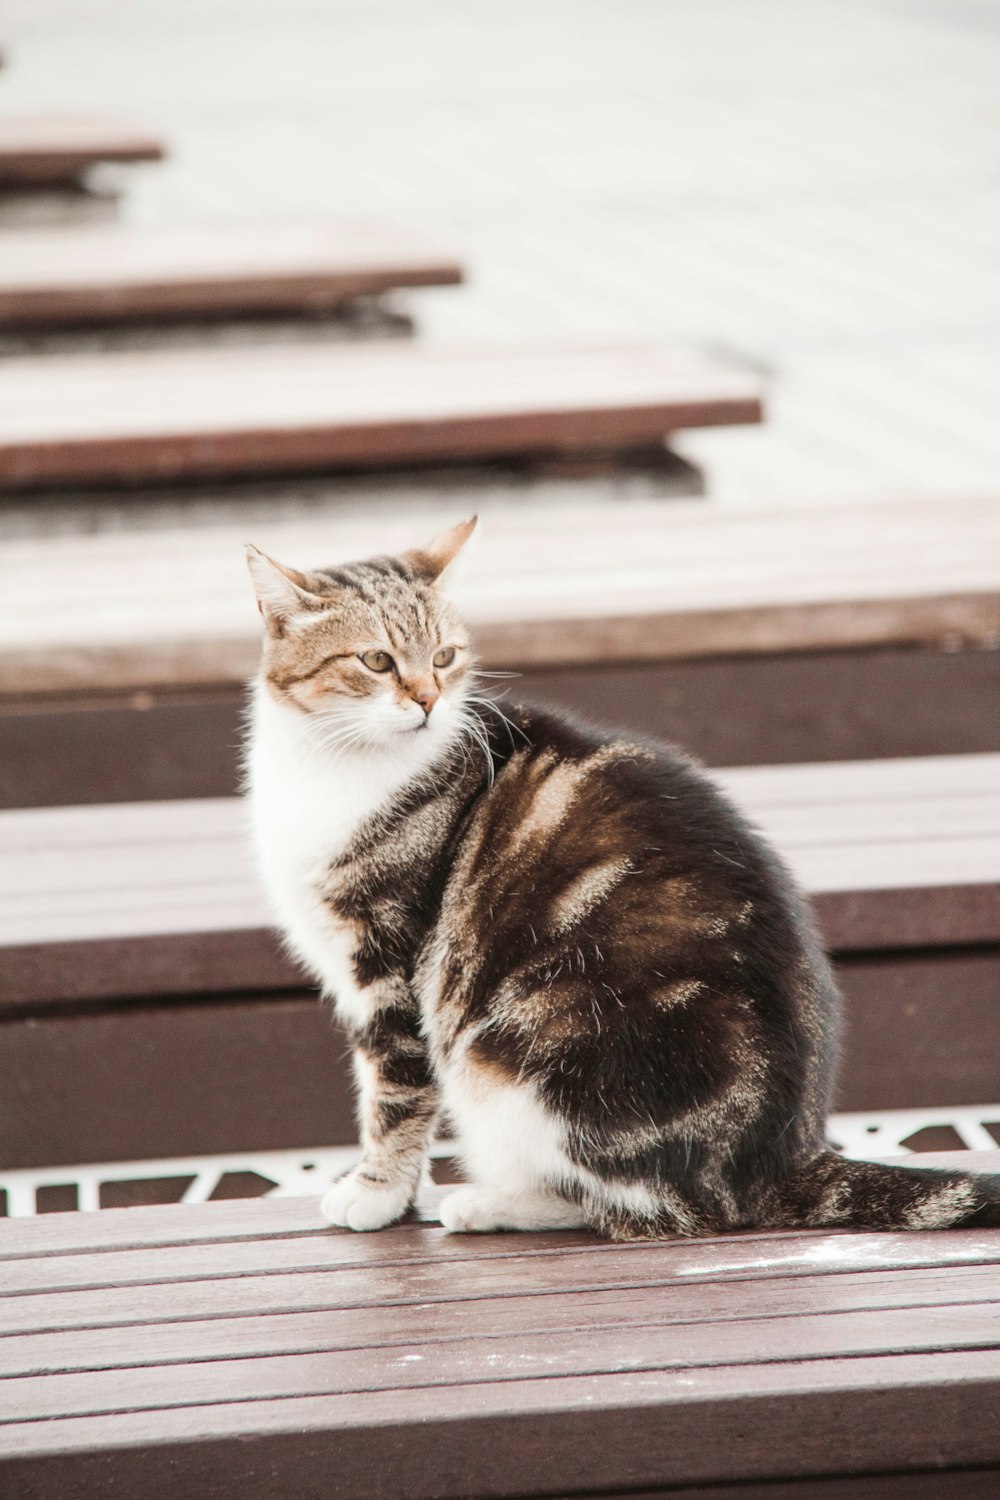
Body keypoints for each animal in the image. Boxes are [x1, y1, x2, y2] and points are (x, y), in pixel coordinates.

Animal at [244, 522, 1000, 1236]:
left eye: (444, 657)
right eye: (376, 660)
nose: (429, 701)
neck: (331, 765)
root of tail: (779, 1162)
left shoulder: (391, 966)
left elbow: (395, 1092)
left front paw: (376, 1191)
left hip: (524, 1058)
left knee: (649, 1207)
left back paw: (490, 1204)